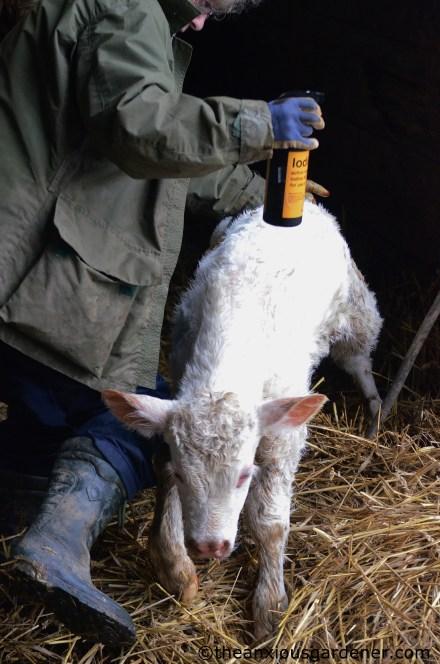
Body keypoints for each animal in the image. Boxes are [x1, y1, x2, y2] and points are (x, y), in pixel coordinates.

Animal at [104, 199, 382, 639]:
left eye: (244, 476)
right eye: (183, 475)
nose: (209, 546)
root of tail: (308, 203)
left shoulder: (281, 437)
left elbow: (269, 522)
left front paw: (270, 607)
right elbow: (161, 470)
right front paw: (175, 566)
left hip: (355, 315)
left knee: (360, 361)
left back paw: (374, 412)